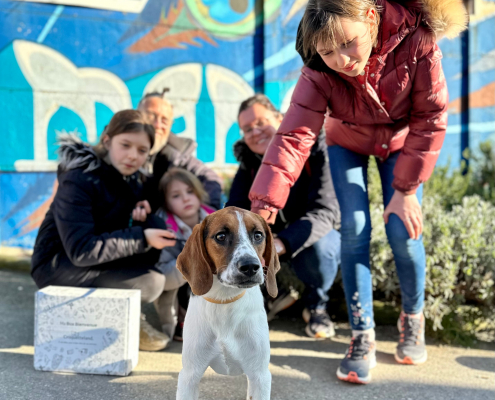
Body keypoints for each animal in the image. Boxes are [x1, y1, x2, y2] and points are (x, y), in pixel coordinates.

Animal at [176, 206, 280, 400]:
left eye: (258, 235)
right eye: (221, 236)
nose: (250, 266)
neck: (224, 301)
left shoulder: (260, 376)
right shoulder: (189, 376)